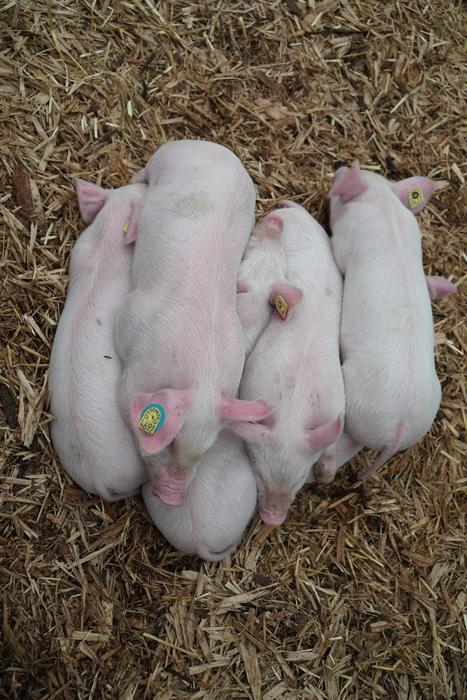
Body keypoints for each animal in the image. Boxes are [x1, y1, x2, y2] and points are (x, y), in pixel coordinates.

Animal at [115, 140, 271, 506]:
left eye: (206, 449)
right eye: (170, 442)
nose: (172, 498)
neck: (202, 374)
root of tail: (215, 149)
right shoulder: (129, 320)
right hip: (165, 158)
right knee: (142, 175)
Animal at [230, 203, 345, 525]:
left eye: (299, 480)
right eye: (257, 471)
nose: (273, 519)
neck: (294, 407)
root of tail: (294, 209)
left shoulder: (336, 399)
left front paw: (326, 475)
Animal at [329, 160, 448, 479]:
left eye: (341, 181)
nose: (339, 166)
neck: (384, 206)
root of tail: (399, 428)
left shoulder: (343, 242)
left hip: (355, 399)